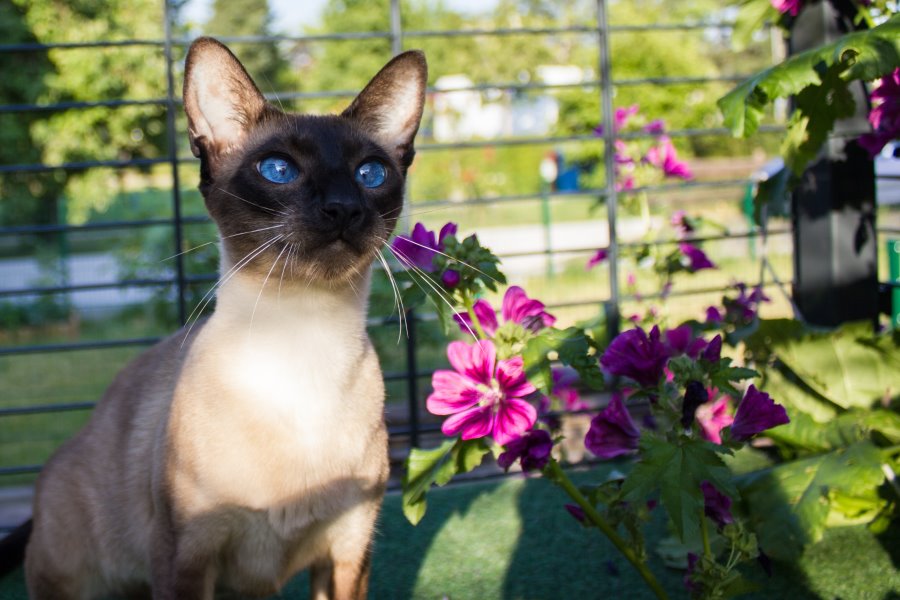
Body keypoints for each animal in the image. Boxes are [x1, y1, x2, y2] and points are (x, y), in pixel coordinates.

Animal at [24, 38, 426, 600]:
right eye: (278, 169)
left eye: (370, 174)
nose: (343, 207)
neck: (301, 341)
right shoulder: (187, 559)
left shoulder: (348, 551)